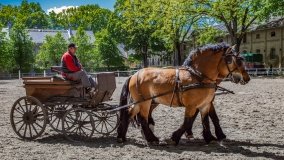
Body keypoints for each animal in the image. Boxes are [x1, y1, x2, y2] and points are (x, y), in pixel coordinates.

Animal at [117, 43, 251, 144]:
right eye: (233, 61)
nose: (246, 78)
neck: (199, 76)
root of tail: (134, 74)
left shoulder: (205, 104)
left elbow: (206, 120)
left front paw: (210, 137)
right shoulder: (191, 105)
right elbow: (187, 121)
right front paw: (175, 137)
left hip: (140, 102)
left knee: (129, 113)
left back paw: (122, 136)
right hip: (146, 101)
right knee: (143, 118)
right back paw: (152, 138)